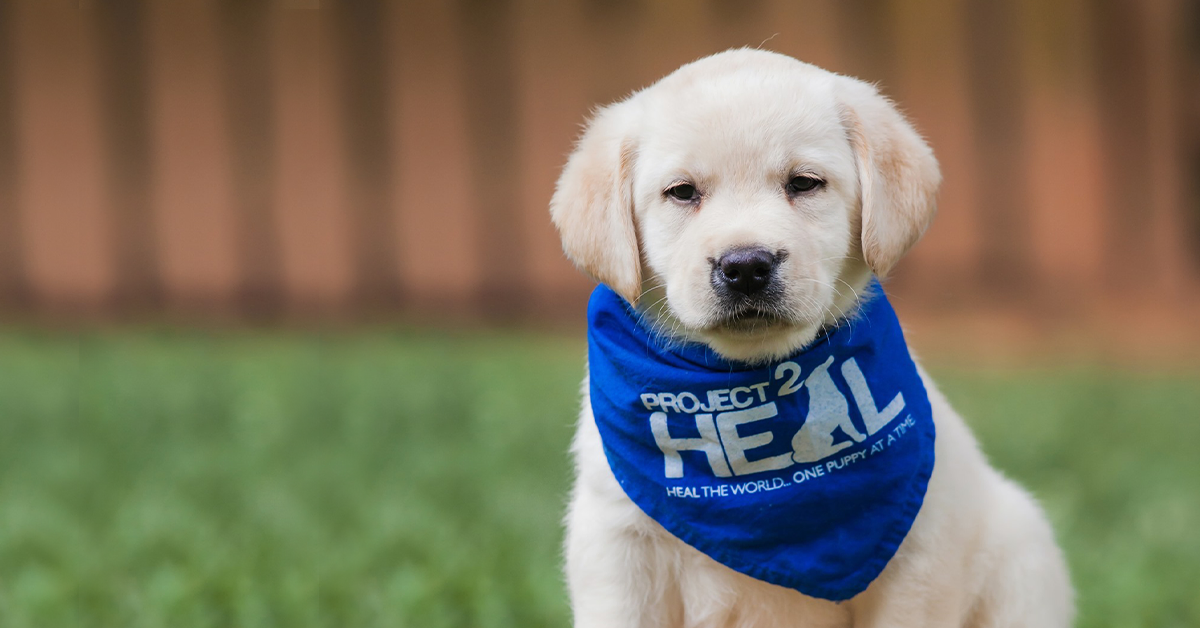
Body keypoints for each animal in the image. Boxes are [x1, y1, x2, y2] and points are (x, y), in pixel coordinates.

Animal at [549, 50, 1070, 628]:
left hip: (1023, 554)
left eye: (804, 183)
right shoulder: (617, 545)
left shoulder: (919, 557)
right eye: (682, 192)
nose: (745, 266)